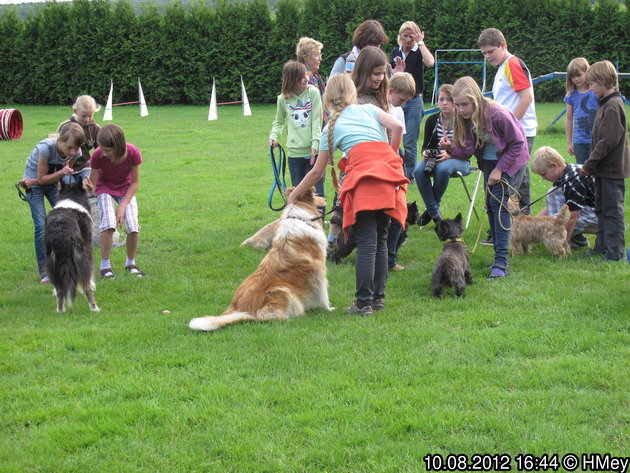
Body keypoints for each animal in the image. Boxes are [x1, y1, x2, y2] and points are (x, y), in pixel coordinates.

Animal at [45, 179, 99, 312]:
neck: (71, 197)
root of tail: (61, 231)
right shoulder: (88, 248)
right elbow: (90, 274)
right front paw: (93, 284)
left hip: (52, 261)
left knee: (60, 289)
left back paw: (60, 310)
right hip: (81, 255)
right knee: (86, 286)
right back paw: (94, 308)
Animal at [189, 186, 334, 330]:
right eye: (316, 195)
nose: (325, 199)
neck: (298, 217)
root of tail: (239, 308)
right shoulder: (318, 272)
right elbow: (323, 294)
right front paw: (329, 309)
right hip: (283, 289)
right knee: (266, 317)